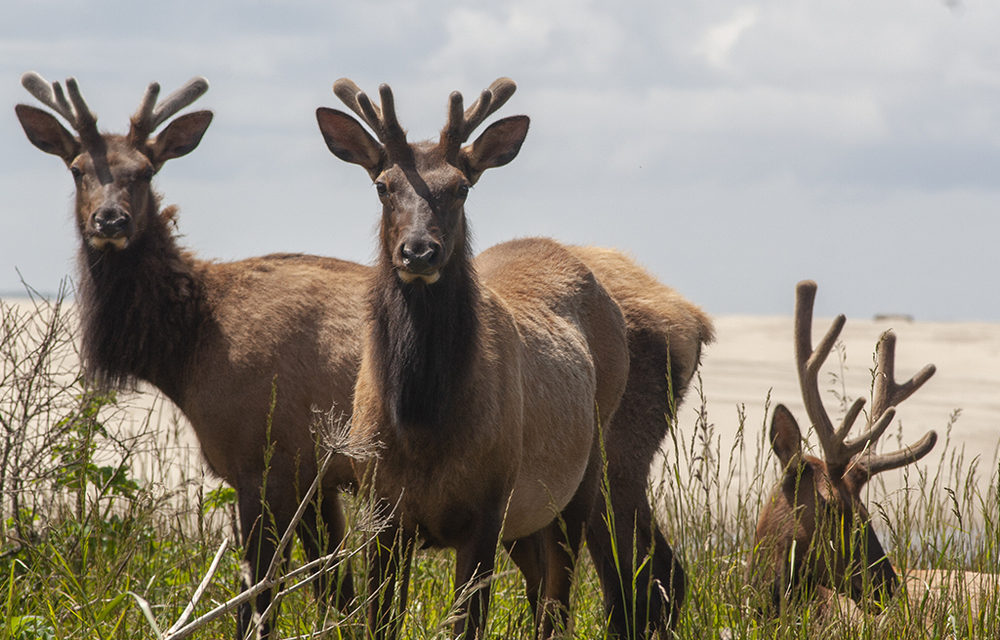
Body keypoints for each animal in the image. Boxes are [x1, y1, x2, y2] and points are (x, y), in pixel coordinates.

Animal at [14, 72, 372, 636]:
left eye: (144, 171)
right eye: (76, 169)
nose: (110, 220)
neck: (184, 353)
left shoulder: (264, 459)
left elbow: (258, 597)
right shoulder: (315, 475)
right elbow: (338, 593)